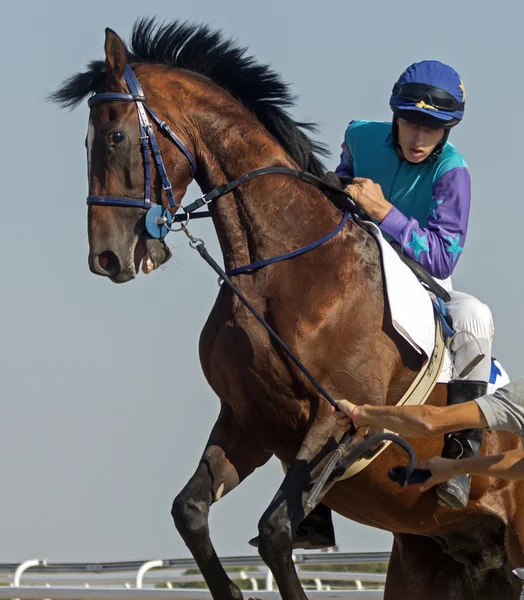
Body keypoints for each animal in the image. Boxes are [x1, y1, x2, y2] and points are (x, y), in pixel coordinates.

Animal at [52, 18, 524, 600]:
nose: (106, 257)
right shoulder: (248, 421)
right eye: (88, 139)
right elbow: (190, 511)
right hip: (435, 561)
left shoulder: (344, 419)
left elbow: (276, 531)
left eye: (116, 136)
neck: (276, 269)